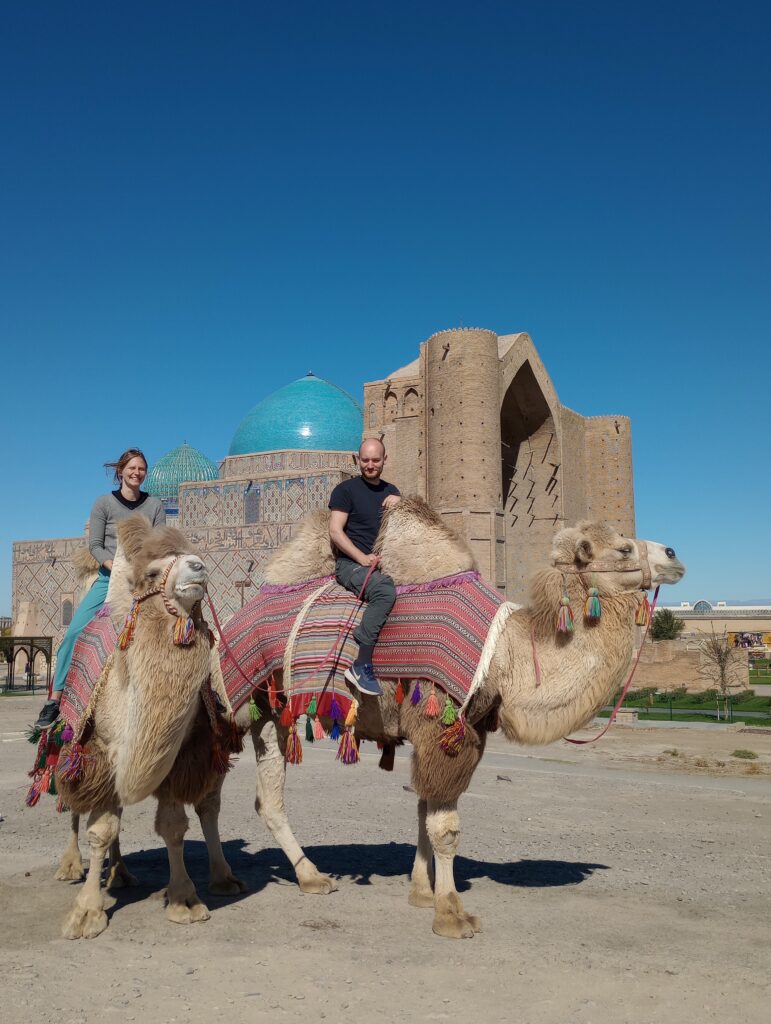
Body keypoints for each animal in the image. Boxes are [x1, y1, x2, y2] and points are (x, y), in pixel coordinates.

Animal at [53, 516, 241, 937]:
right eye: (153, 573)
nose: (198, 566)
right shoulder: (103, 750)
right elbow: (100, 829)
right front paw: (86, 914)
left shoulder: (177, 751)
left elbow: (172, 826)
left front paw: (185, 900)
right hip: (71, 746)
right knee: (74, 806)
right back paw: (71, 867)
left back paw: (125, 874)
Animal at [219, 499, 683, 937]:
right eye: (623, 549)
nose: (673, 555)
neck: (504, 654)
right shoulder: (439, 719)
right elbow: (445, 827)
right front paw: (451, 914)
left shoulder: (464, 729)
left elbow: (425, 810)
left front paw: (422, 893)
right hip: (244, 703)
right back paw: (239, 882)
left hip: (270, 713)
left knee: (260, 798)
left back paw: (303, 878)